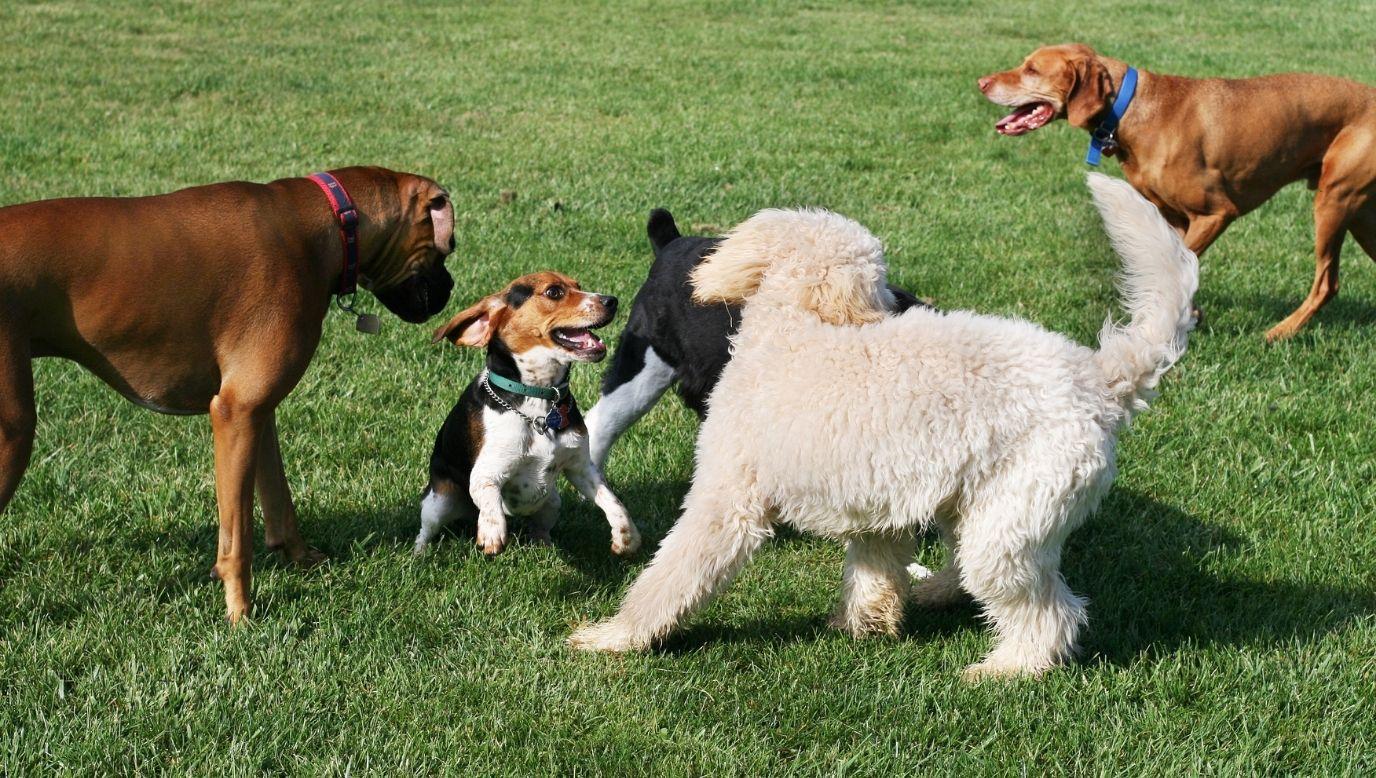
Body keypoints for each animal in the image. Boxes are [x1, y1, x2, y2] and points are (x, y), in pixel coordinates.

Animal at [0, 166, 462, 622]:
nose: (452, 287)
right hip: (13, 433)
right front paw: (241, 612)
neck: (332, 220)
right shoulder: (235, 414)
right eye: (448, 248)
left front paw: (299, 559)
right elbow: (236, 537)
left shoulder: (258, 414)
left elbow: (278, 500)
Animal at [979, 44, 1376, 338]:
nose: (981, 81)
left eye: (1032, 69)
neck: (1131, 109)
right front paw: (1190, 313)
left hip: (1334, 201)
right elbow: (1178, 264)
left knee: (1326, 283)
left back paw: (1280, 332)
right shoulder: (1175, 218)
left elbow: (1176, 261)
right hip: (1359, 218)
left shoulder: (1216, 213)